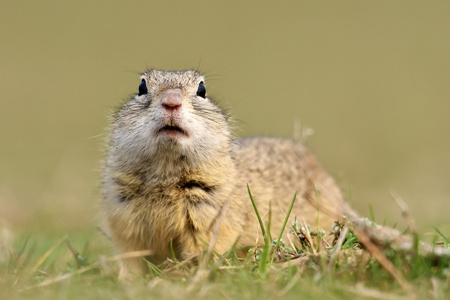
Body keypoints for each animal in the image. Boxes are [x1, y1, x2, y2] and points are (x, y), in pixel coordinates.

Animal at [103, 69, 344, 278]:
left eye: (202, 89)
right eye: (142, 86)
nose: (171, 101)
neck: (166, 172)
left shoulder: (211, 216)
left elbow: (200, 250)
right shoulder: (124, 220)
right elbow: (131, 256)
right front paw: (129, 279)